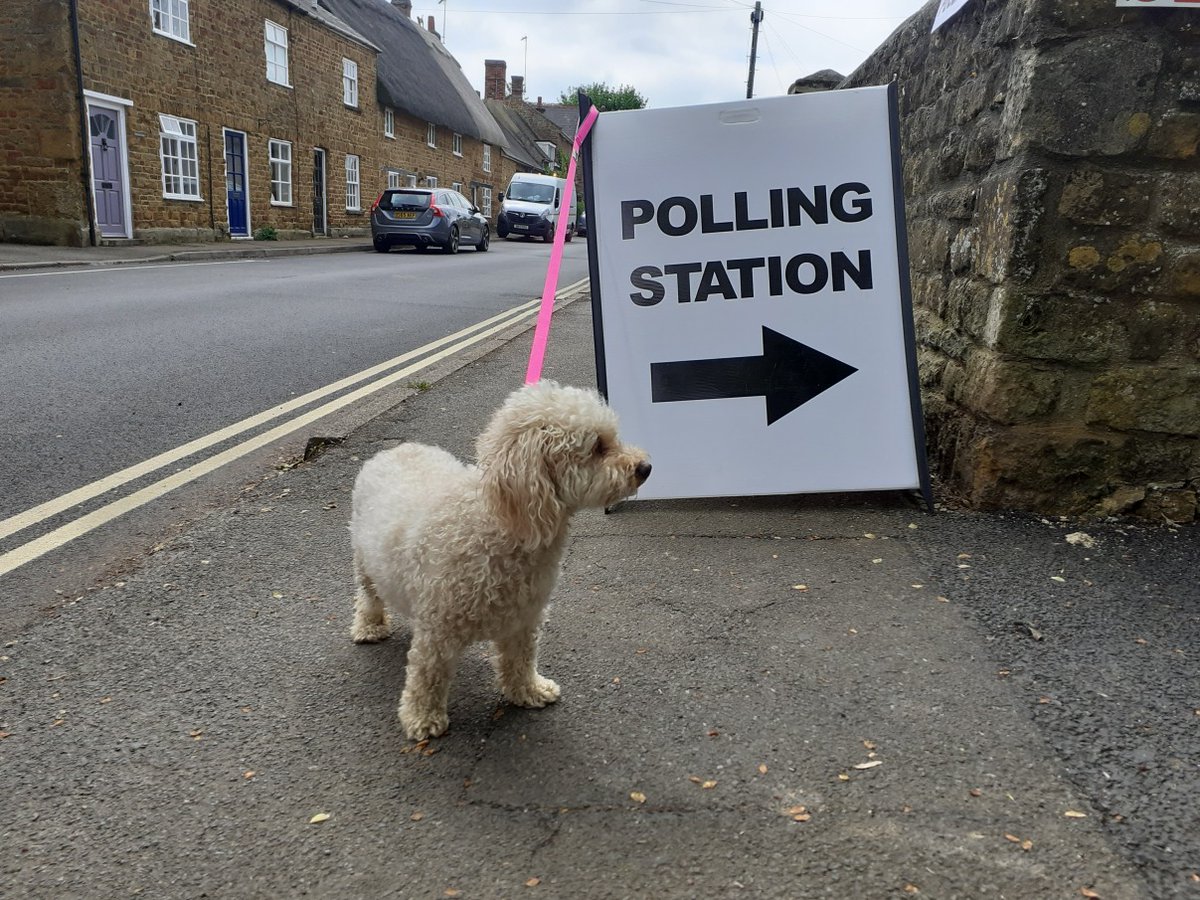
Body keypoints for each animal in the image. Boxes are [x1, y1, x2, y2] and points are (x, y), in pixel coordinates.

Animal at [350, 381, 648, 739]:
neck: (501, 527)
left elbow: (520, 660)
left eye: (613, 438)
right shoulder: (437, 630)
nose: (645, 467)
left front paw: (528, 691)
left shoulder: (524, 619)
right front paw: (422, 718)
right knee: (368, 595)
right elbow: (427, 675)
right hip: (364, 560)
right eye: (598, 447)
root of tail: (396, 448)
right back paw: (369, 627)